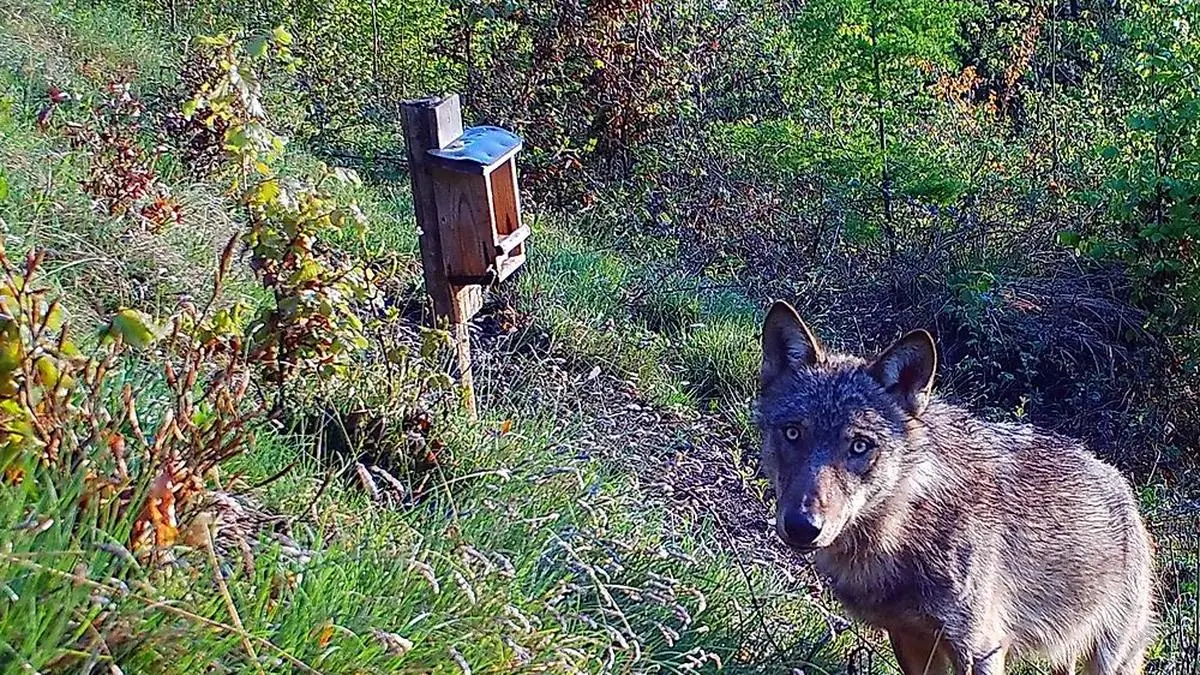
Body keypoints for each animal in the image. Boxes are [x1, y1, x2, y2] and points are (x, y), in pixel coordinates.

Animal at [754, 300, 1155, 675]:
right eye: (793, 433)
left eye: (859, 446)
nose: (803, 527)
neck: (906, 526)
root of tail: (1122, 485)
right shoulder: (910, 640)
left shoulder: (981, 648)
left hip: (1112, 657)